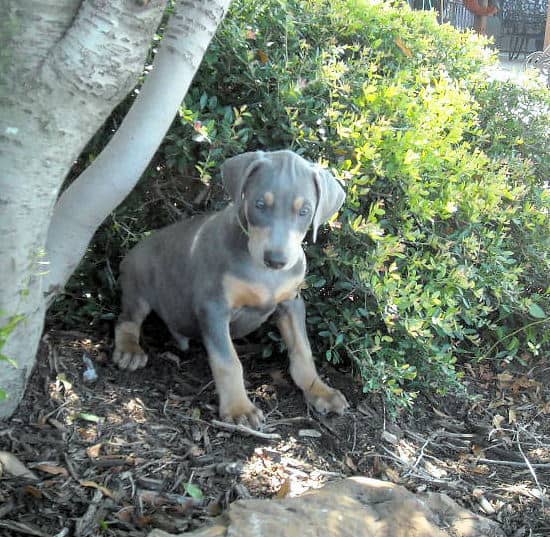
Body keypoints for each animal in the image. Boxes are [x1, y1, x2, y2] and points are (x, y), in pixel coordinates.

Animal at [113, 150, 350, 428]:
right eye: (260, 204)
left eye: (304, 211)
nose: (276, 261)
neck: (264, 272)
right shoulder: (214, 308)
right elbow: (228, 362)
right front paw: (239, 408)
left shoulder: (291, 303)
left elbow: (303, 351)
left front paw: (319, 390)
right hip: (138, 283)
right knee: (126, 320)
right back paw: (129, 350)